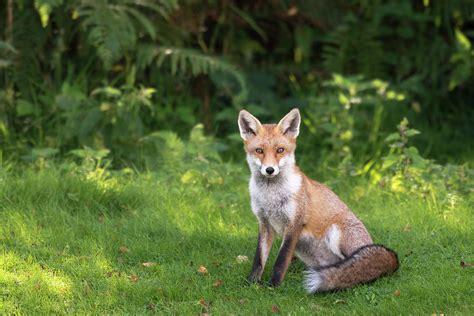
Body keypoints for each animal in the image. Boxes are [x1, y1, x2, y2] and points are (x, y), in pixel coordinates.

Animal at [239, 108, 398, 292]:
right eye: (259, 151)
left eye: (280, 150)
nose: (270, 170)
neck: (271, 196)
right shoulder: (264, 224)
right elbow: (258, 260)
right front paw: (251, 283)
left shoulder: (294, 224)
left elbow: (281, 261)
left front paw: (273, 286)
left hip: (336, 233)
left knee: (358, 265)